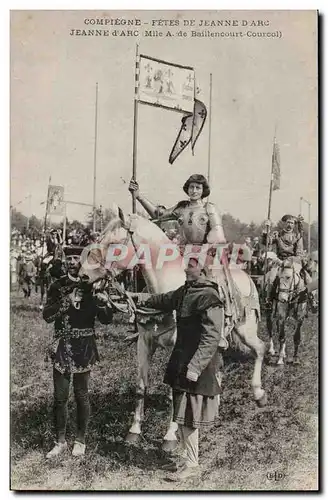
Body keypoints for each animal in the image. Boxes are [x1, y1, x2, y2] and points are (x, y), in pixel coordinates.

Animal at [79, 209, 266, 452]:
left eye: (113, 243)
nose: (83, 275)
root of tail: (246, 276)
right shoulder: (144, 344)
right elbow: (141, 387)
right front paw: (134, 431)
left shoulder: (178, 350)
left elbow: (175, 392)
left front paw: (169, 436)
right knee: (218, 365)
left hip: (246, 329)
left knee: (260, 349)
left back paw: (259, 394)